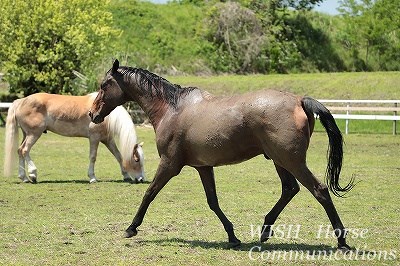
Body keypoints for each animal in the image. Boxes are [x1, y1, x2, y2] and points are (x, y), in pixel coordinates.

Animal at [4, 92, 145, 184]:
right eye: (137, 160)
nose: (141, 179)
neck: (107, 116)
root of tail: (20, 101)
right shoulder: (94, 138)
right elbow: (93, 157)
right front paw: (92, 177)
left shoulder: (107, 139)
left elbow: (118, 156)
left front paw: (126, 175)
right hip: (34, 134)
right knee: (24, 150)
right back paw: (32, 174)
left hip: (26, 134)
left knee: (19, 151)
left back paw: (24, 178)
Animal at [88, 59, 354, 250]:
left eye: (104, 85)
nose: (92, 114)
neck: (171, 109)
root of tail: (299, 100)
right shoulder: (204, 167)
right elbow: (213, 202)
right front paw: (232, 236)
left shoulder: (170, 165)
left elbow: (149, 193)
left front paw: (131, 228)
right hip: (280, 161)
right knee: (290, 189)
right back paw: (265, 230)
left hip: (292, 161)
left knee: (319, 190)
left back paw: (341, 240)